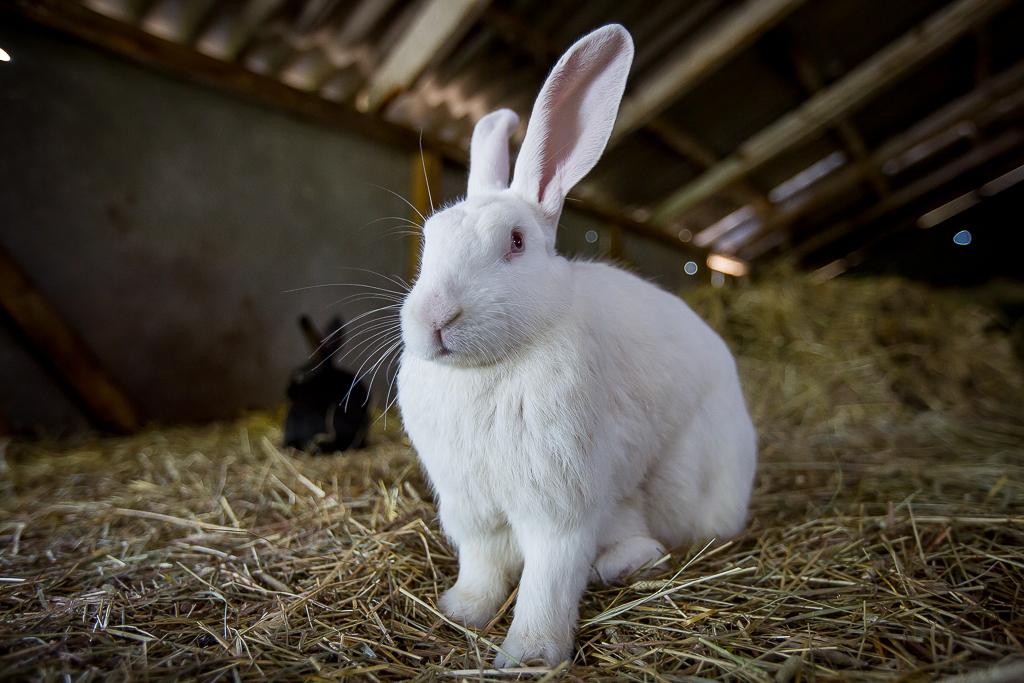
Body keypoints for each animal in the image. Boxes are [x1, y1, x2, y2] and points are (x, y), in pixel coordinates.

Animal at [395, 24, 757, 671]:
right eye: (429, 239)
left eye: (515, 242)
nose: (434, 316)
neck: (487, 367)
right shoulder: (473, 511)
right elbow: (482, 568)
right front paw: (461, 612)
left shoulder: (560, 508)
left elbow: (549, 579)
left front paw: (530, 656)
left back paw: (622, 565)